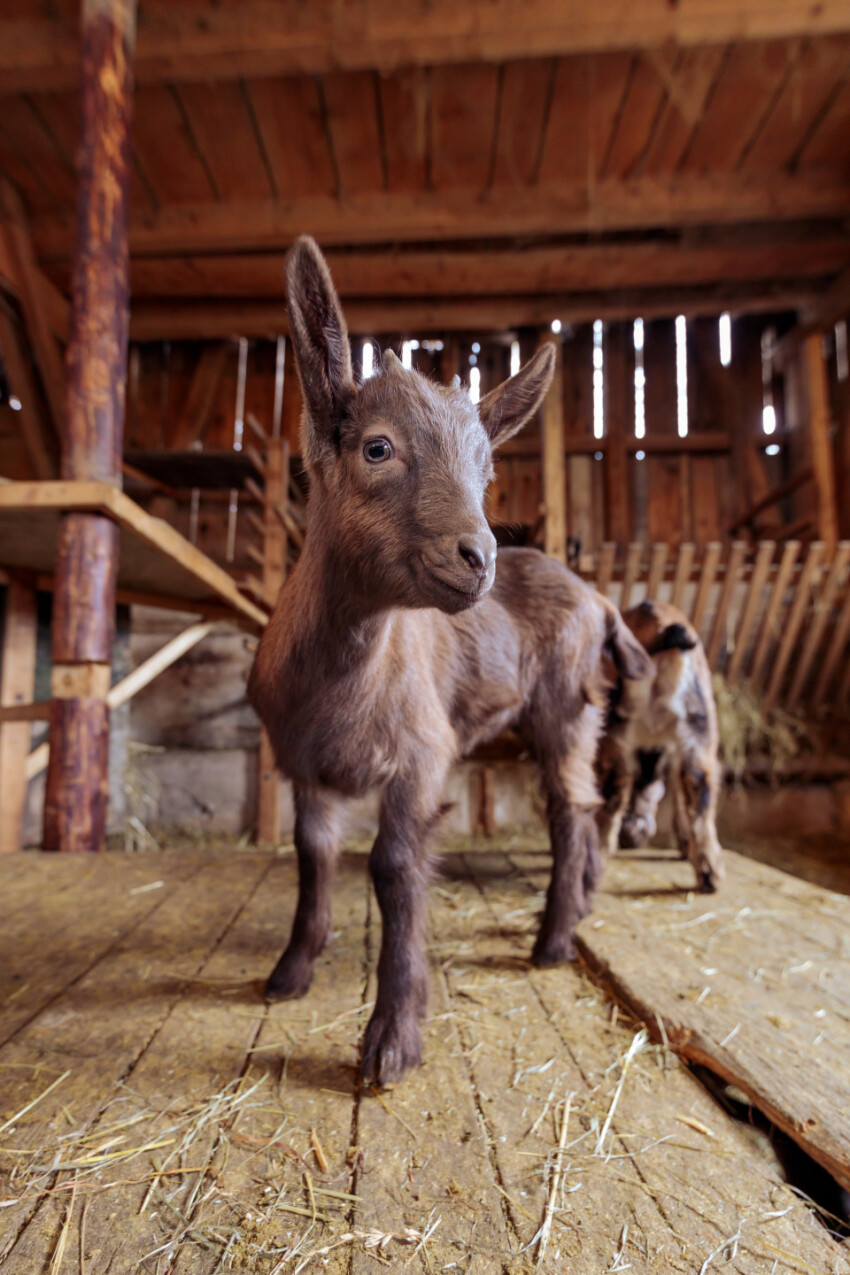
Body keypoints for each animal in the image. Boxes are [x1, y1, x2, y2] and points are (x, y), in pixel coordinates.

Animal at [249, 234, 647, 1081]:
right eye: (377, 447)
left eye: (486, 471)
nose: (477, 556)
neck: (342, 678)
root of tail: (597, 598)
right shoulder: (303, 763)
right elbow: (311, 856)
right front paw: (291, 971)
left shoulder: (421, 752)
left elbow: (394, 868)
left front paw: (391, 1038)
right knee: (585, 805)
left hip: (564, 705)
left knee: (571, 809)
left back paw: (553, 939)